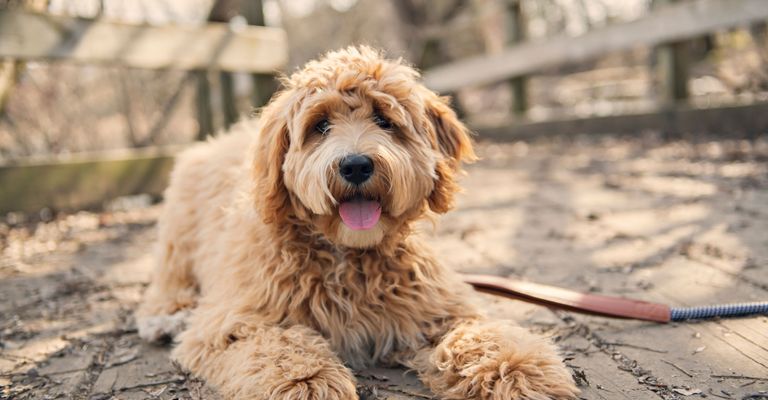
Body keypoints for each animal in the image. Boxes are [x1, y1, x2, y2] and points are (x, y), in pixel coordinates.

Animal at [136, 47, 576, 400]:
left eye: (384, 120)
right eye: (320, 126)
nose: (356, 165)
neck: (348, 254)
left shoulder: (436, 310)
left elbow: (481, 336)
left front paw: (518, 370)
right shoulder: (232, 321)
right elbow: (275, 345)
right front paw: (307, 382)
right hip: (179, 234)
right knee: (169, 280)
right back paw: (166, 315)